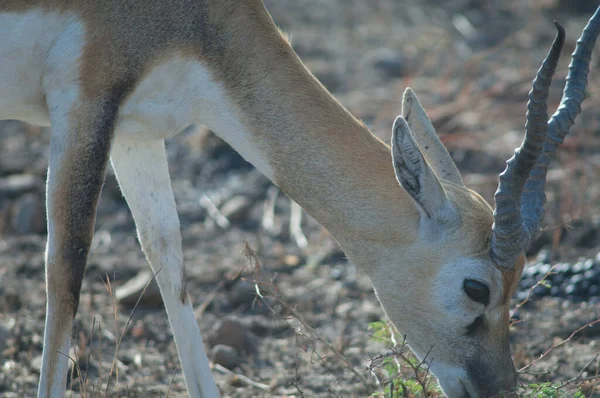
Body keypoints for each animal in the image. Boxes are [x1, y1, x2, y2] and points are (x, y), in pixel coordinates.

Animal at [0, 0, 596, 394]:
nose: (500, 388)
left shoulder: (137, 130)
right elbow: (66, 268)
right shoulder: (83, 101)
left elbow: (169, 261)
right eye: (477, 287)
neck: (195, 21)